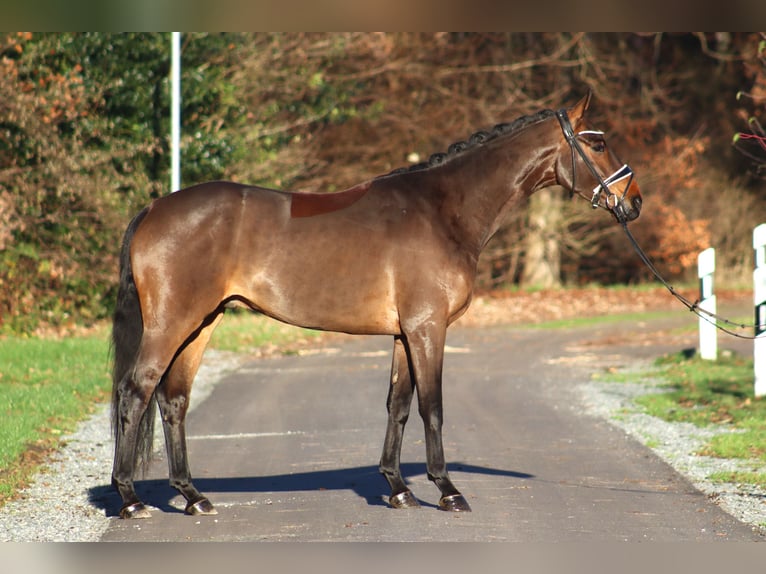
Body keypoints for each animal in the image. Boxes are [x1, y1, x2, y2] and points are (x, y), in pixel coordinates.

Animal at [112, 92, 640, 520]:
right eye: (597, 144)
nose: (633, 201)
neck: (442, 211)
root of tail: (154, 208)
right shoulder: (428, 327)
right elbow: (432, 406)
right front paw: (447, 491)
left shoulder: (405, 333)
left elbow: (398, 405)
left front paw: (399, 489)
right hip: (173, 323)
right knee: (135, 392)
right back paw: (131, 499)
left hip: (202, 323)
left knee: (173, 400)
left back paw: (193, 496)